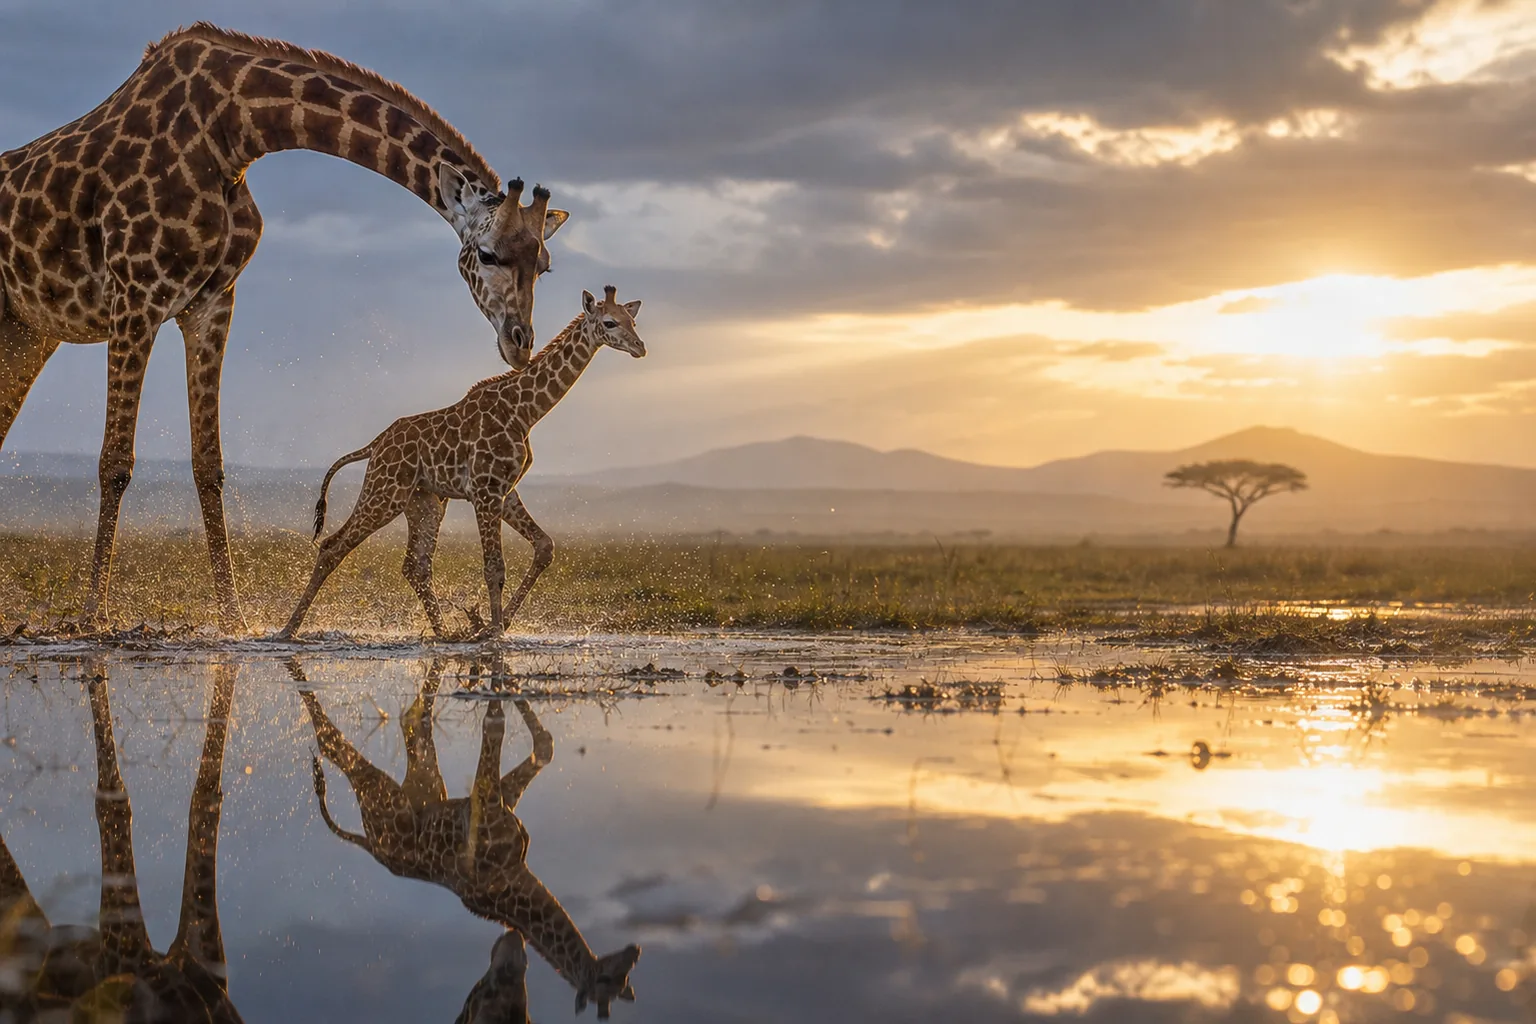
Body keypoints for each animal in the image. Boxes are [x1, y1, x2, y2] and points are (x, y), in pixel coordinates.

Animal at [0, 23, 570, 632]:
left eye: (544, 265)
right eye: (486, 255)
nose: (519, 343)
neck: (231, 132)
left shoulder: (210, 304)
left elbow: (209, 465)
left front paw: (233, 620)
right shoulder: (136, 297)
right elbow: (115, 462)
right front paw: (91, 619)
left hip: (28, 331)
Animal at [279, 286, 645, 640]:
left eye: (632, 321)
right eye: (610, 322)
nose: (640, 347)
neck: (524, 412)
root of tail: (375, 445)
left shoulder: (504, 490)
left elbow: (544, 546)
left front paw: (491, 624)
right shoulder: (485, 490)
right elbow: (494, 566)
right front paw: (493, 631)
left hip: (425, 502)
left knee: (416, 566)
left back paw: (444, 633)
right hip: (385, 492)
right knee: (333, 546)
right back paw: (287, 630)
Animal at [294, 658, 641, 1020]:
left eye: (626, 979)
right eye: (606, 980)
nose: (635, 951)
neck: (512, 876)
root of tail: (372, 845)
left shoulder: (499, 805)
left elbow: (543, 745)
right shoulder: (486, 804)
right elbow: (496, 725)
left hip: (425, 787)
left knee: (412, 724)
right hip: (385, 799)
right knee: (333, 743)